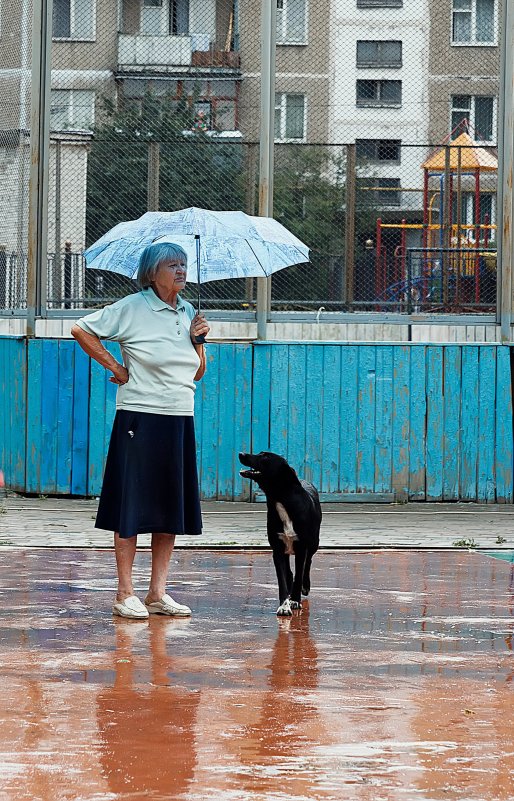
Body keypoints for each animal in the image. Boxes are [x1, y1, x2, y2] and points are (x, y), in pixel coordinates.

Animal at [237, 454, 318, 616]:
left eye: (264, 456)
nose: (241, 454)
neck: (281, 498)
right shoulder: (278, 549)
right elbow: (282, 579)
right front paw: (284, 606)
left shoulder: (302, 548)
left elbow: (299, 575)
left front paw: (295, 601)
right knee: (289, 573)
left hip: (313, 543)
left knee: (307, 564)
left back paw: (305, 586)